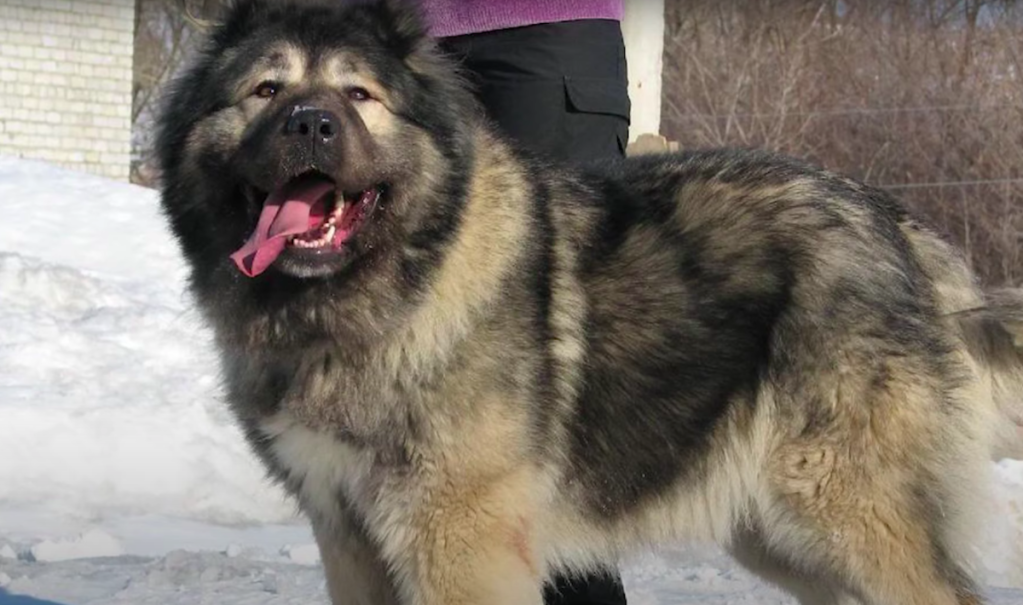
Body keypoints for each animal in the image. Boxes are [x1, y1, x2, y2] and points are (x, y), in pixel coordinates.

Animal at [155, 2, 1023, 601]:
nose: (309, 124)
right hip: (775, 528)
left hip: (842, 506)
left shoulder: (457, 538)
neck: (388, 291)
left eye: (358, 95)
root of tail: (897, 224)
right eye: (266, 90)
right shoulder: (348, 534)